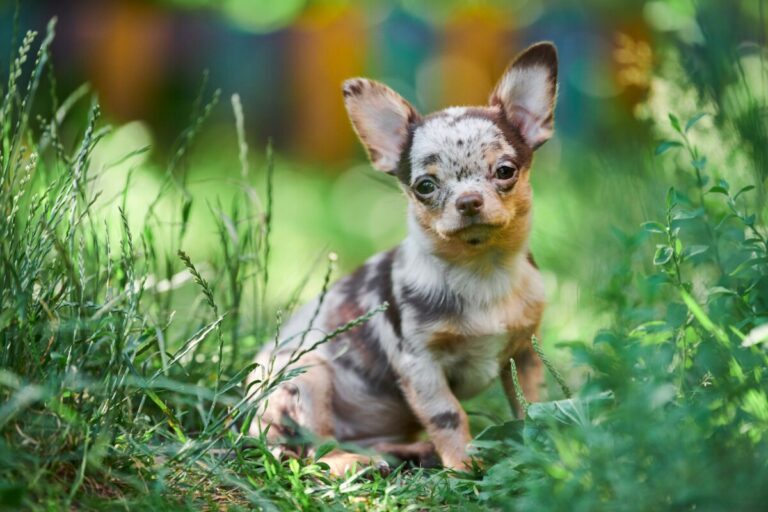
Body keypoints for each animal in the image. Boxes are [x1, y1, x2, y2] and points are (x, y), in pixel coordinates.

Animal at [250, 42, 560, 474]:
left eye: (504, 171)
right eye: (425, 186)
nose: (468, 201)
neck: (481, 269)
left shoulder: (526, 353)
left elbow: (531, 406)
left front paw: (542, 451)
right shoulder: (421, 366)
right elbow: (448, 415)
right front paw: (464, 468)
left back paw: (406, 453)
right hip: (308, 378)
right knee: (317, 451)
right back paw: (358, 462)